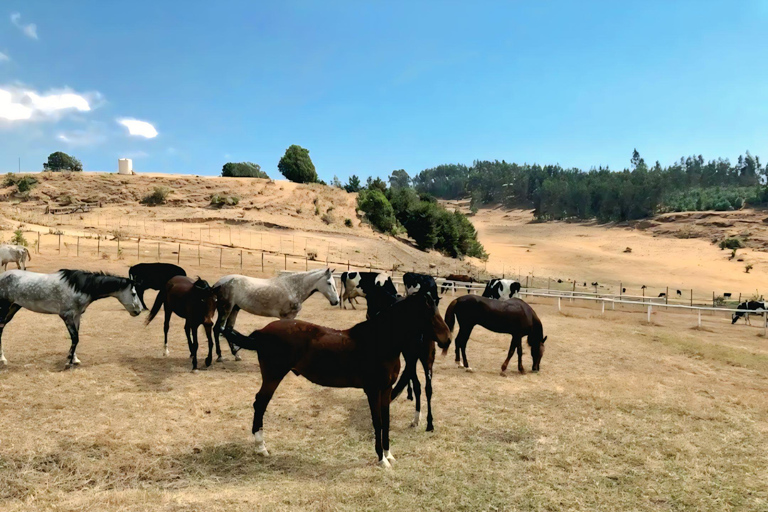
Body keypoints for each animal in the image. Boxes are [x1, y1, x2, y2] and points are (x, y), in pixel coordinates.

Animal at [0, 269, 141, 368]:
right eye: (134, 293)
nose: (139, 311)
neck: (78, 287)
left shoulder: (76, 316)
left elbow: (76, 338)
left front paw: (74, 359)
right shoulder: (66, 316)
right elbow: (75, 337)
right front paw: (69, 362)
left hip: (14, 307)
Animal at [365, 284, 439, 431]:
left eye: (369, 300)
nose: (368, 315)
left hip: (412, 357)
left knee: (418, 386)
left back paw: (416, 418)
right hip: (428, 359)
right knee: (428, 389)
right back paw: (429, 423)